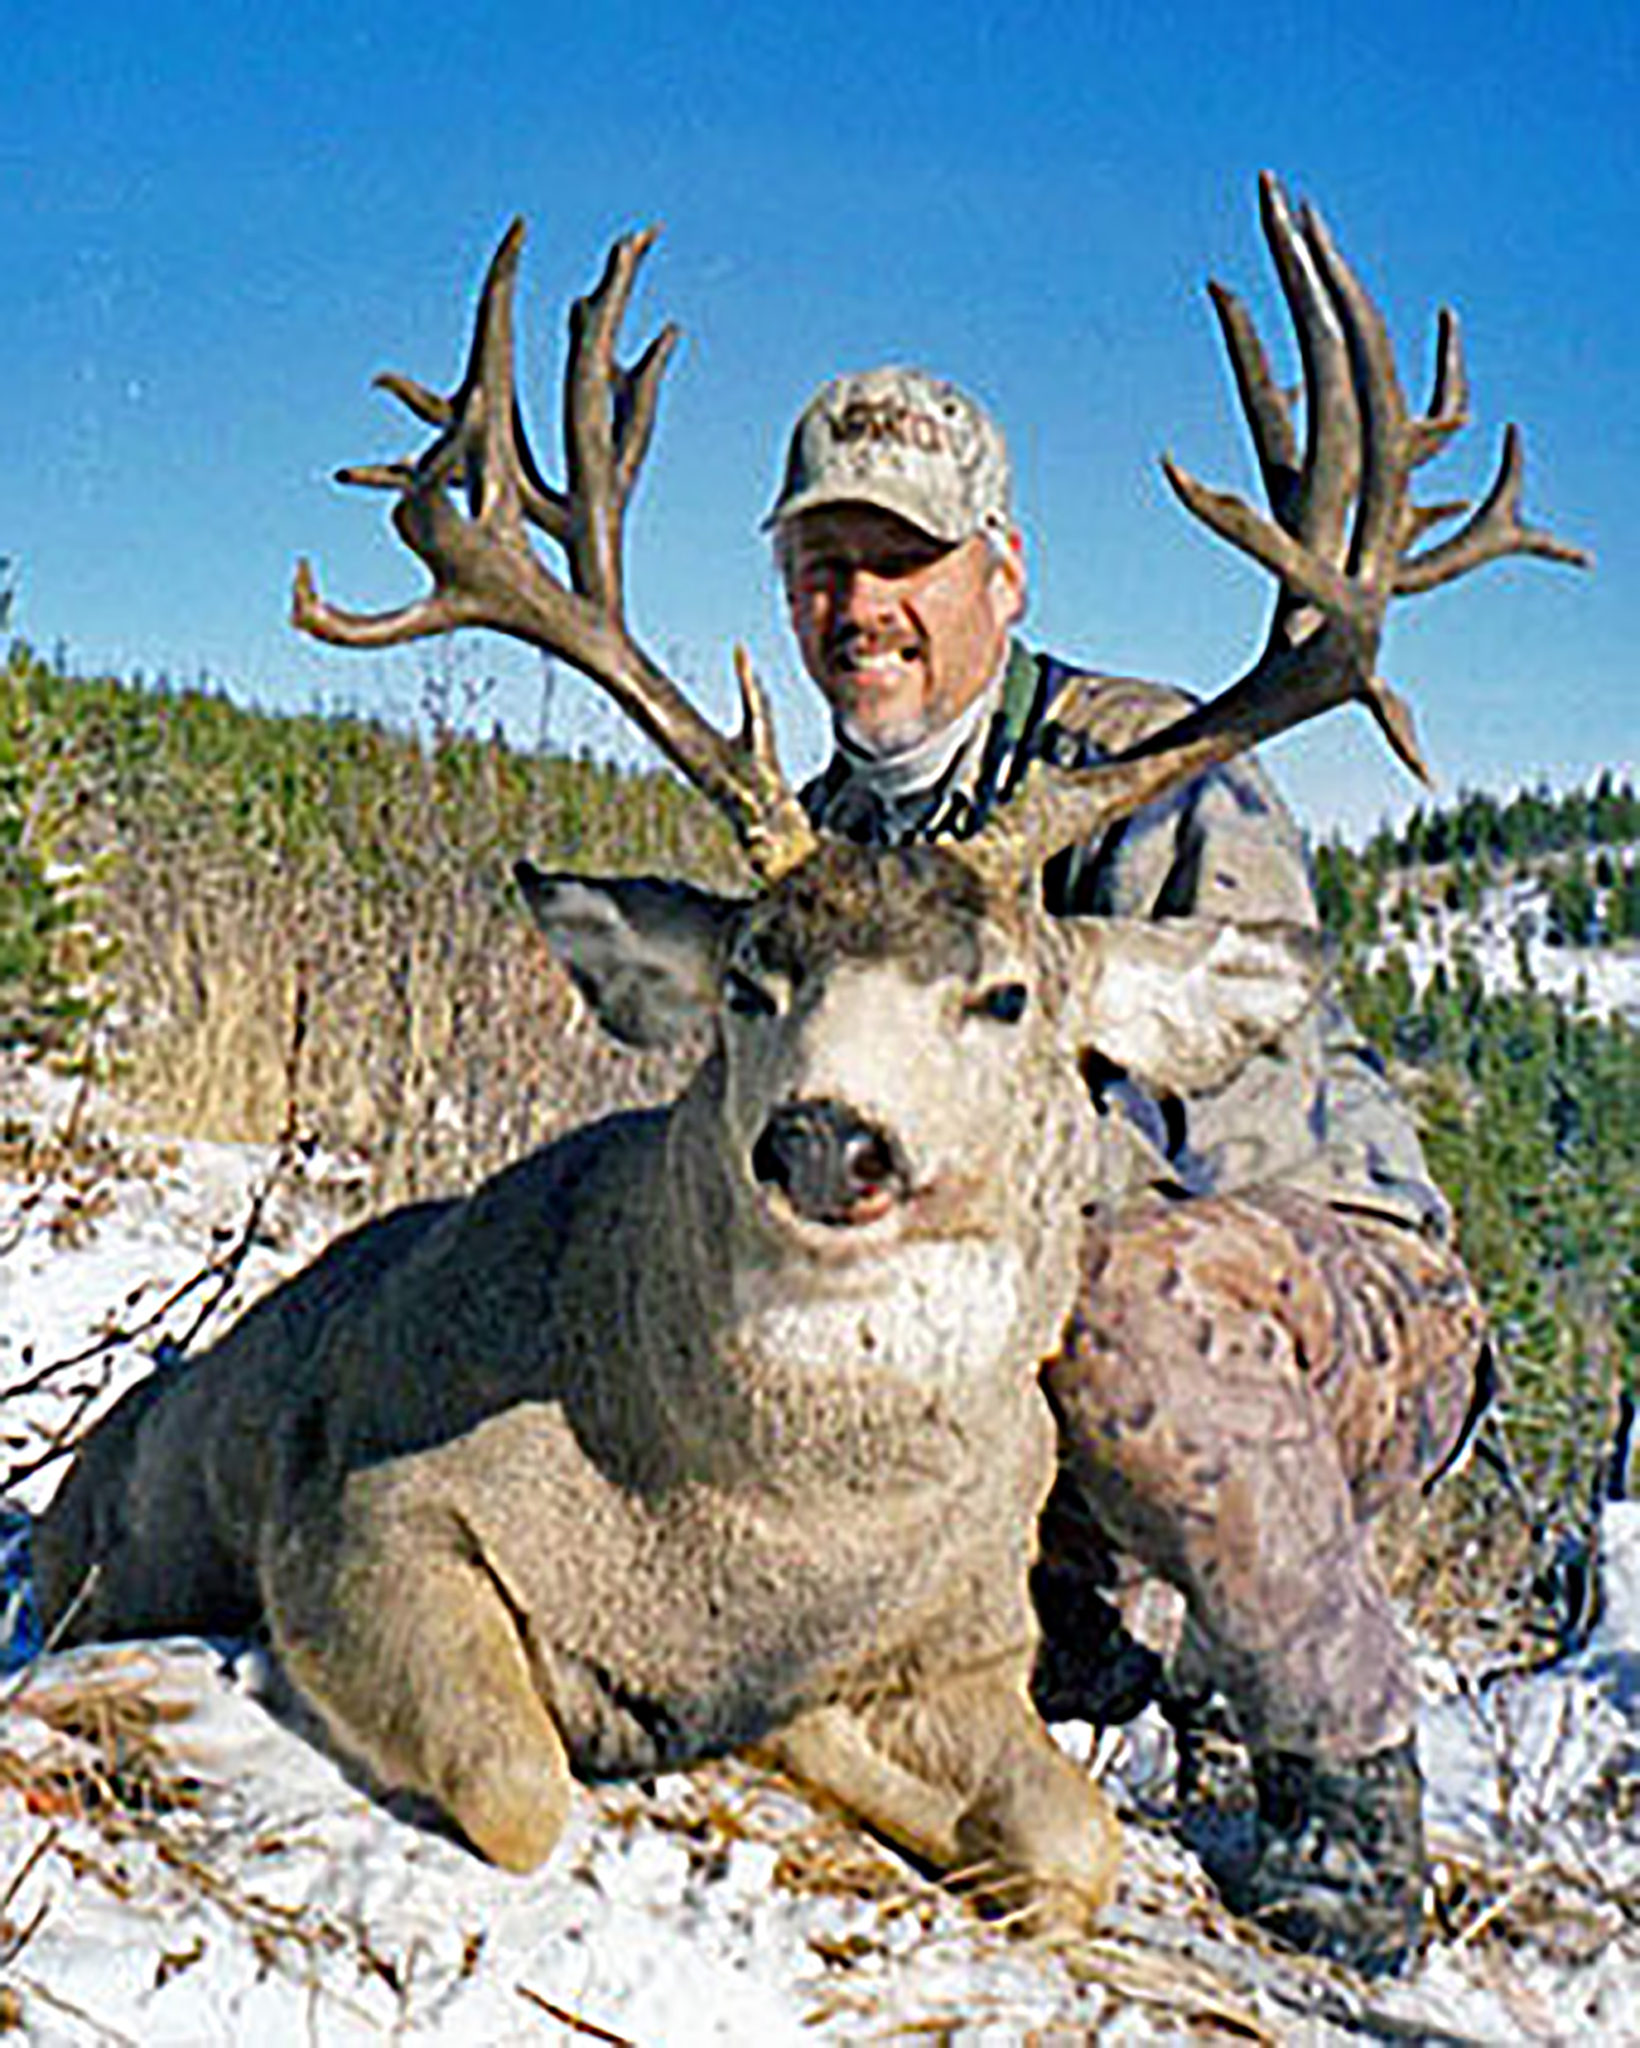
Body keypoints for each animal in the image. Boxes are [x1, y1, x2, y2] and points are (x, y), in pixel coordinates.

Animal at [32, 177, 1584, 1925]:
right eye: (750, 981)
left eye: (1005, 996)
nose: (830, 1138)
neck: (763, 1543)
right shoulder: (364, 1514)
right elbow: (521, 1789)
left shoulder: (973, 1642)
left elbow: (1076, 1838)